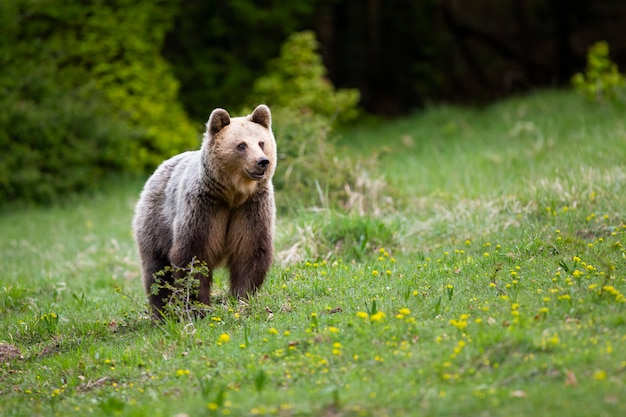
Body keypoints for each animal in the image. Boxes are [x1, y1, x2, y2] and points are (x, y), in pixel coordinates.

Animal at [132, 105, 276, 318]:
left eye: (261, 143)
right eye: (241, 145)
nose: (262, 162)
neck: (233, 195)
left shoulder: (250, 208)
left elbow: (249, 250)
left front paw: (242, 297)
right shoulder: (204, 207)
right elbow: (194, 255)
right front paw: (199, 308)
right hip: (155, 222)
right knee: (156, 270)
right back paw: (162, 314)